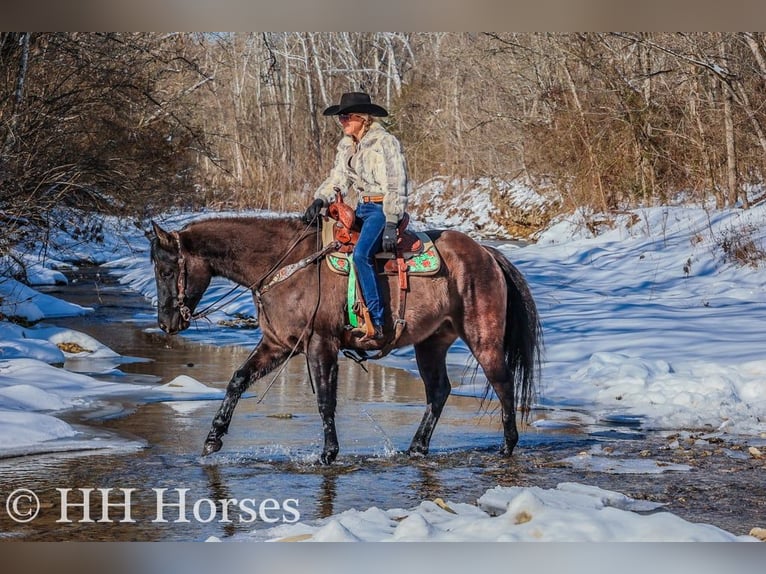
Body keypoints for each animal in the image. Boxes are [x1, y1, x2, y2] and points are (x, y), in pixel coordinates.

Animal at [147, 214, 542, 464]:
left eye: (166, 270)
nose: (166, 322)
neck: (285, 265)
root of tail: (486, 253)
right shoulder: (278, 345)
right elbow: (237, 380)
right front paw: (212, 440)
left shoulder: (321, 344)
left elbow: (325, 400)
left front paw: (328, 453)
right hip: (431, 343)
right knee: (439, 391)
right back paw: (417, 448)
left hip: (482, 337)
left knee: (502, 383)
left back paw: (507, 446)